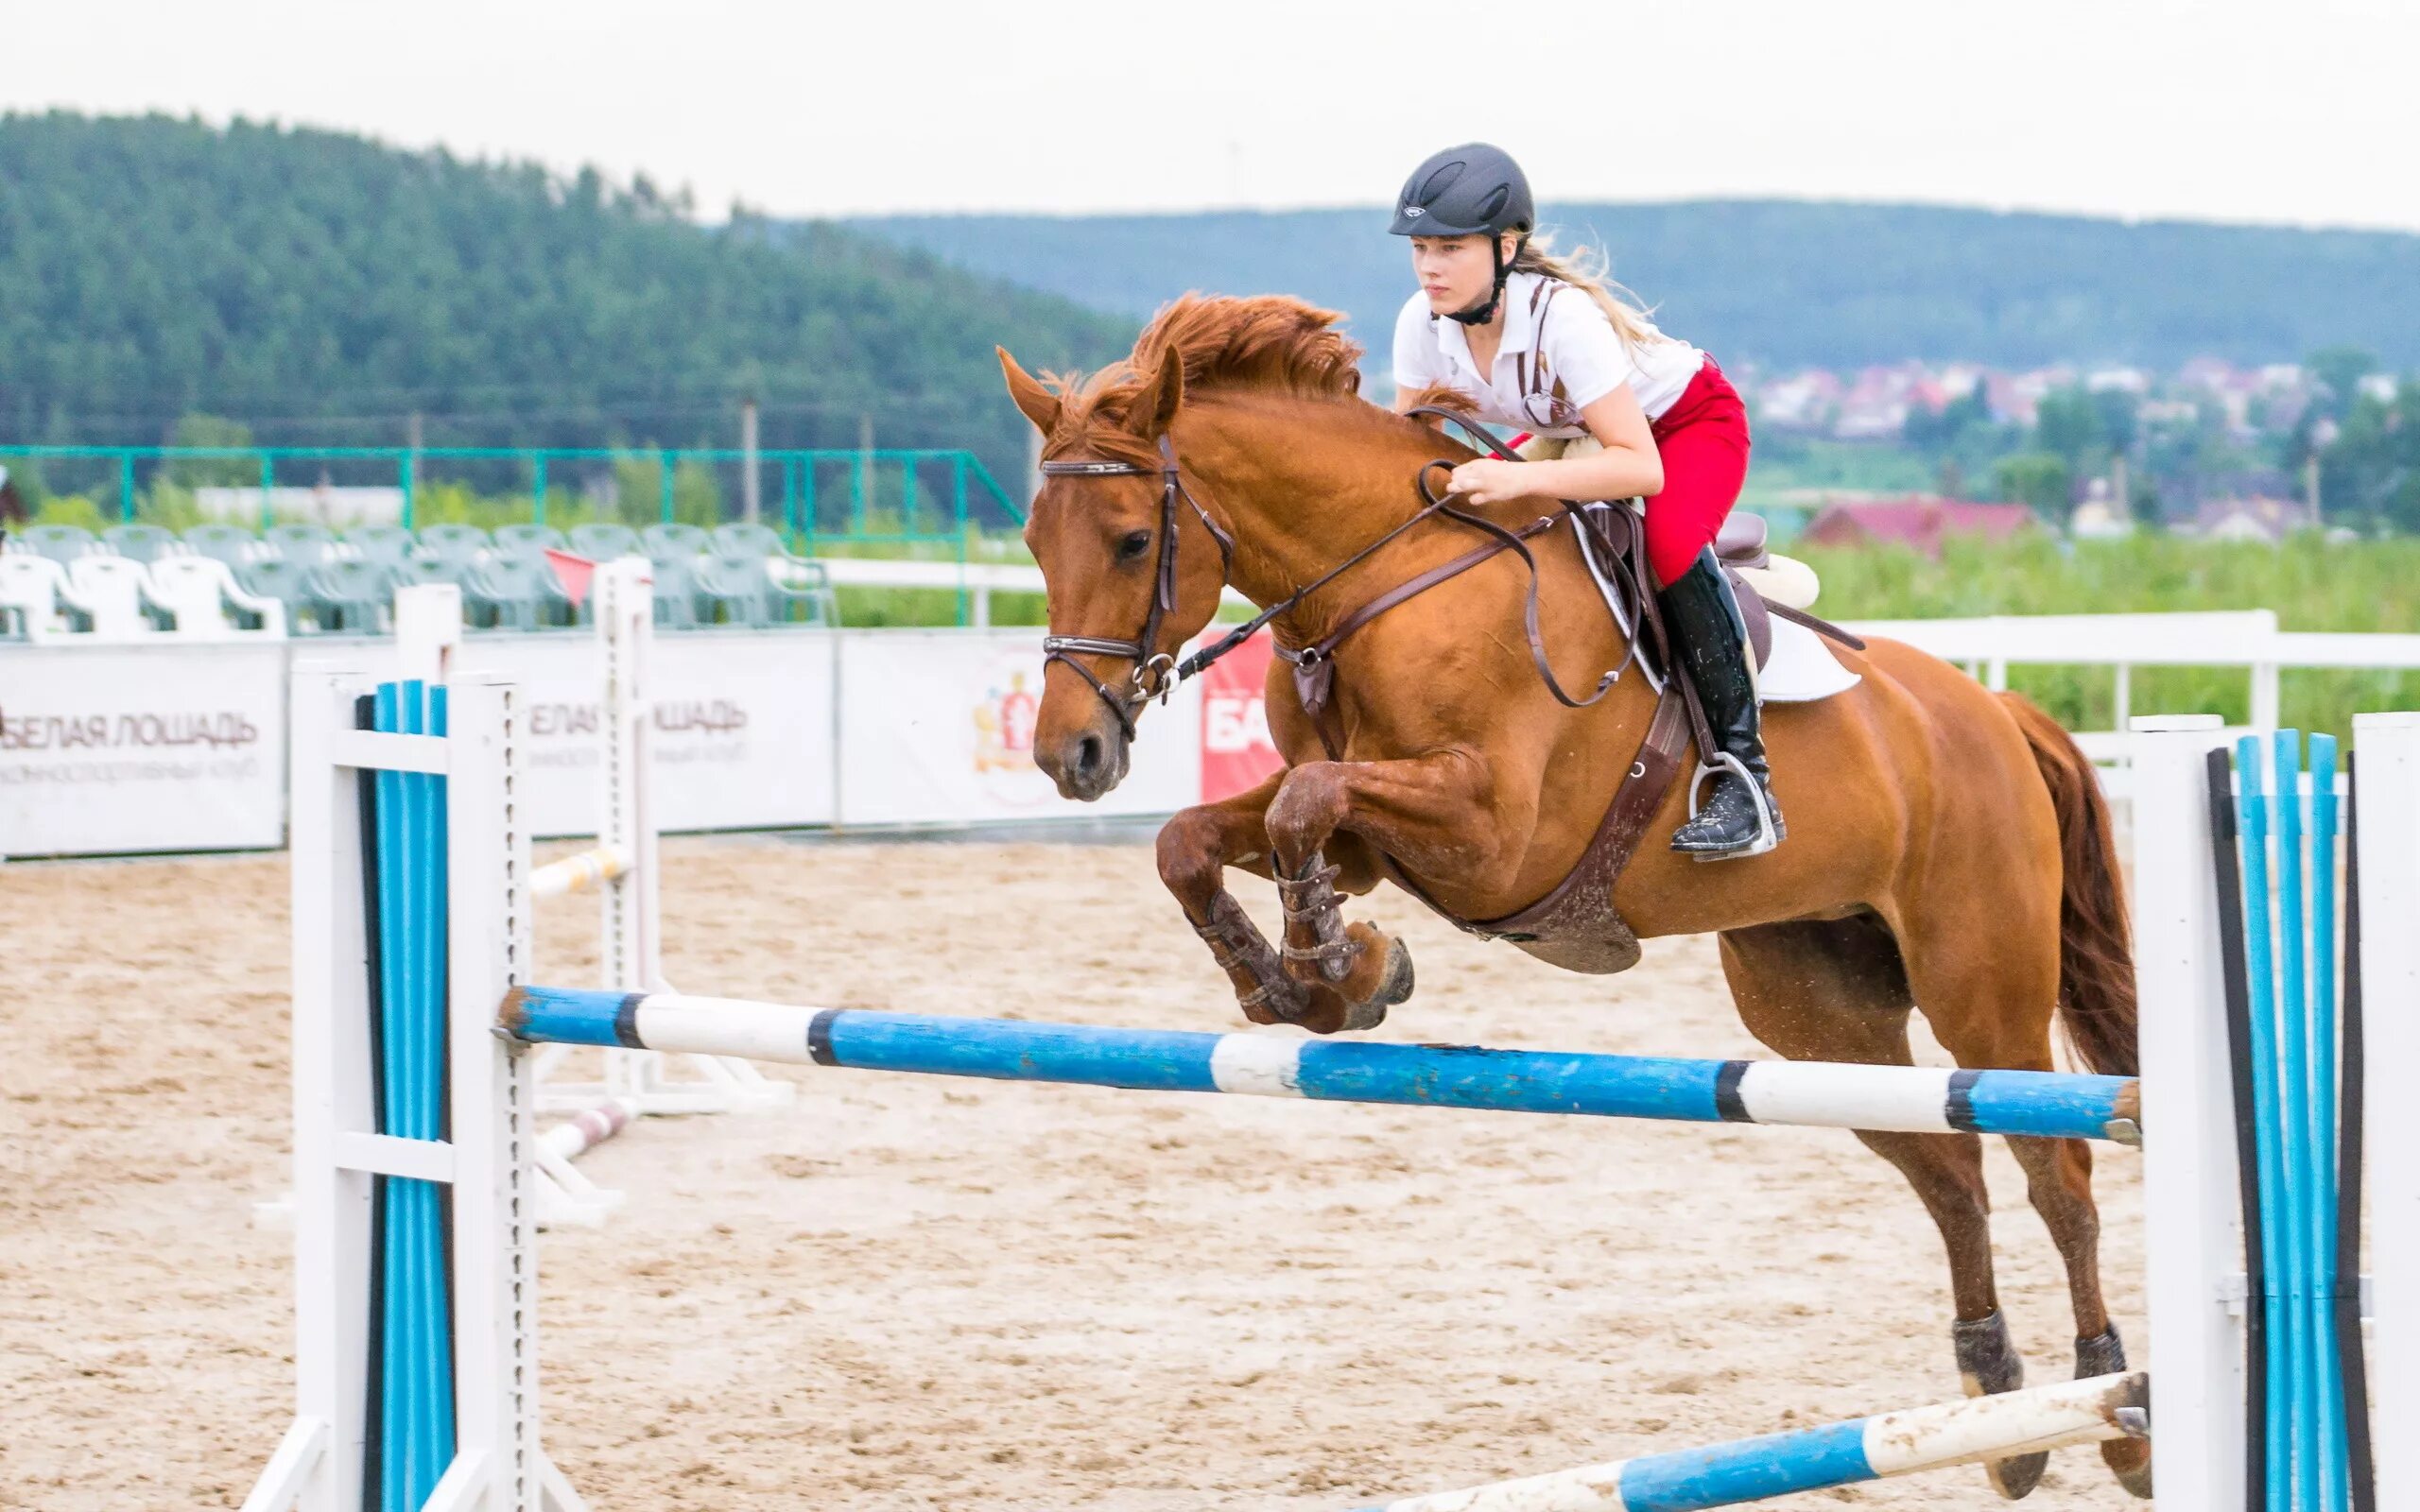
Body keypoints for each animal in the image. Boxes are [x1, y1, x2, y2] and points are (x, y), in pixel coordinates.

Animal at [992, 297, 2149, 1500]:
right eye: (1032, 541)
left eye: (1133, 539)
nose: (1071, 754)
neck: (1381, 583)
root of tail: (1997, 712)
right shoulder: (1367, 844)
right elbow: (1203, 838)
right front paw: (1315, 984)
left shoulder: (1492, 834)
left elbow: (1303, 805)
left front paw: (1338, 970)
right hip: (1816, 1007)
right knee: (1950, 1167)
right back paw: (2002, 1411)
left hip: (1981, 985)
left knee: (2054, 1167)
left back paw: (2112, 1410)